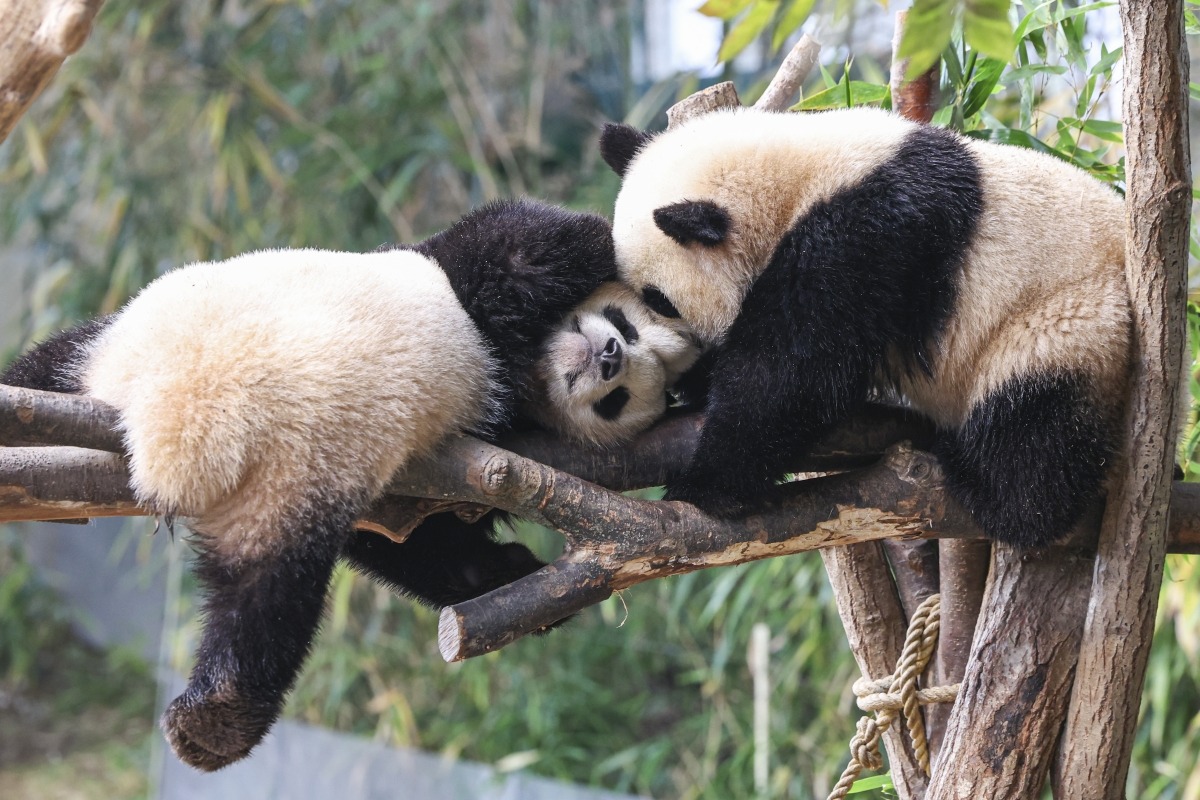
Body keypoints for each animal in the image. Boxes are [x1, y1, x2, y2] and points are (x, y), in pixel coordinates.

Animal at [0, 200, 700, 777]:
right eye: (623, 327)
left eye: (616, 401)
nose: (608, 357)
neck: (530, 376)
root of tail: (183, 412)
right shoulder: (474, 284)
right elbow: (547, 242)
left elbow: (409, 541)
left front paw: (512, 574)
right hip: (154, 373)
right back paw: (215, 726)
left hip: (278, 474)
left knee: (263, 597)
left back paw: (212, 718)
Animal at [604, 107, 1128, 551]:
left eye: (659, 299)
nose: (663, 357)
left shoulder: (867, 236)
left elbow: (793, 371)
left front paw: (708, 483)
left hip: (1070, 321)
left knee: (1033, 424)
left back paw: (988, 486)